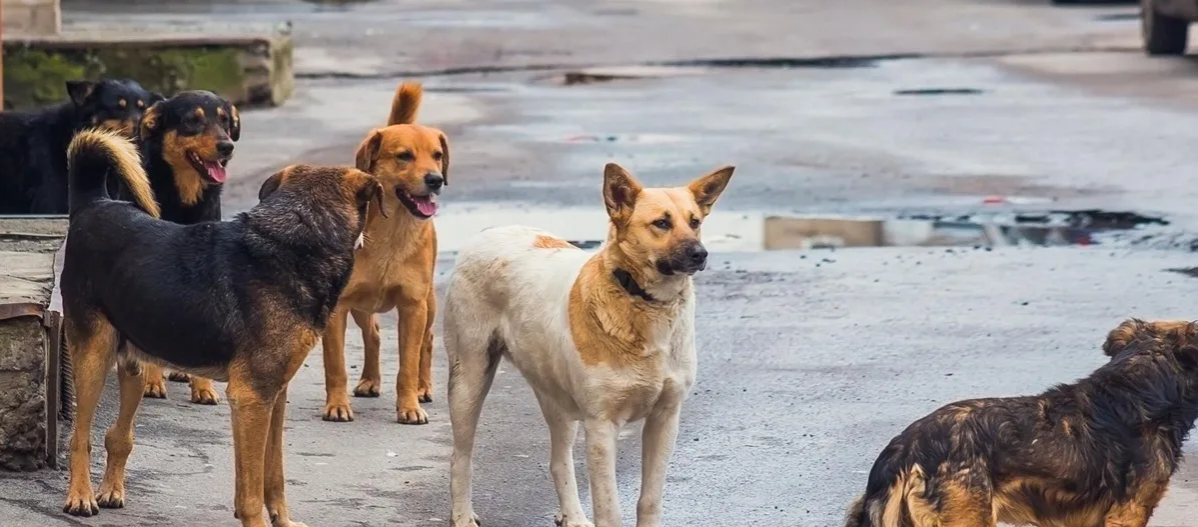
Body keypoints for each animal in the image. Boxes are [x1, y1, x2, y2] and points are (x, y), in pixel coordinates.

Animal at [59, 128, 383, 527]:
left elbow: (273, 474)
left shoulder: (274, 395)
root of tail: (94, 203)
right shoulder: (251, 398)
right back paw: (80, 495)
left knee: (117, 435)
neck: (298, 238)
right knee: (80, 436)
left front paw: (283, 520)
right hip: (93, 357)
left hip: (133, 364)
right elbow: (251, 489)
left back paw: (111, 490)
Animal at [321, 79, 448, 423]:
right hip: (361, 306)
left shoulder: (413, 306)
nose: (436, 179)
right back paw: (370, 380)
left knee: (427, 342)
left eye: (437, 155)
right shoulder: (338, 308)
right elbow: (336, 365)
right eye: (404, 156)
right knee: (373, 334)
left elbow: (407, 365)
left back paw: (423, 387)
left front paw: (410, 406)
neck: (392, 232)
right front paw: (337, 405)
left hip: (429, 303)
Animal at [445, 162, 733, 524]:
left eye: (695, 222)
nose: (700, 254)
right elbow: (610, 508)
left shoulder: (665, 419)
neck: (643, 302)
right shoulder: (601, 427)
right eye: (661, 223)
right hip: (469, 381)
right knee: (460, 456)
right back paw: (462, 515)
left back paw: (573, 516)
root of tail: (490, 230)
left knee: (558, 461)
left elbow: (650, 500)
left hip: (555, 396)